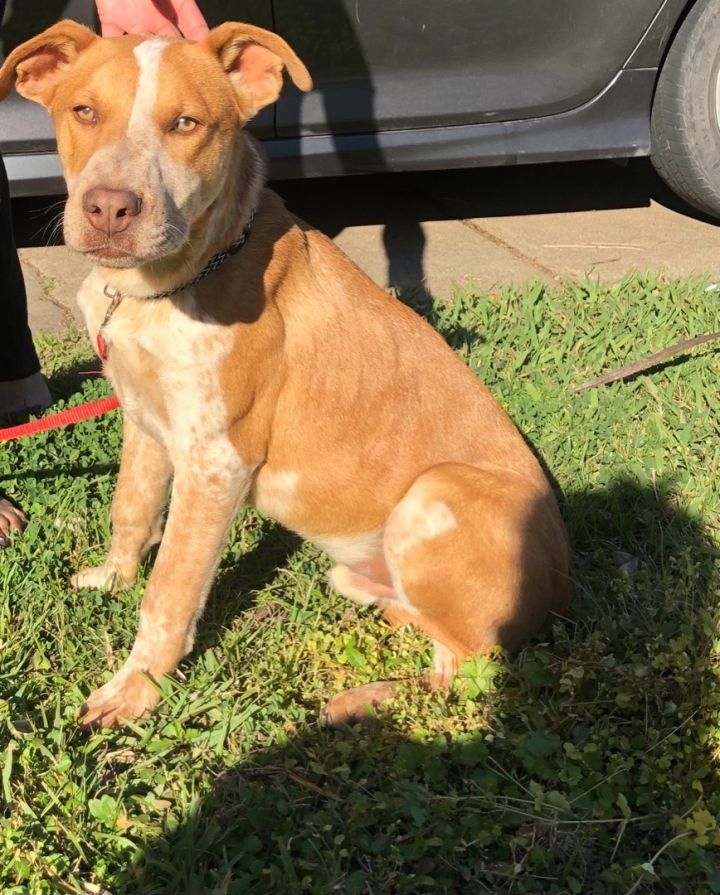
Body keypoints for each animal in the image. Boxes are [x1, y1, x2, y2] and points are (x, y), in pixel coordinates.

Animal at [0, 19, 572, 728]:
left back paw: (361, 700)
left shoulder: (217, 463)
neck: (166, 285)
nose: (108, 209)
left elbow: (170, 592)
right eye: (83, 111)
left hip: (437, 491)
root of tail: (561, 590)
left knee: (466, 670)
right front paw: (111, 579)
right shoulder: (145, 420)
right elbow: (130, 510)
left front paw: (134, 690)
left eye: (186, 123)